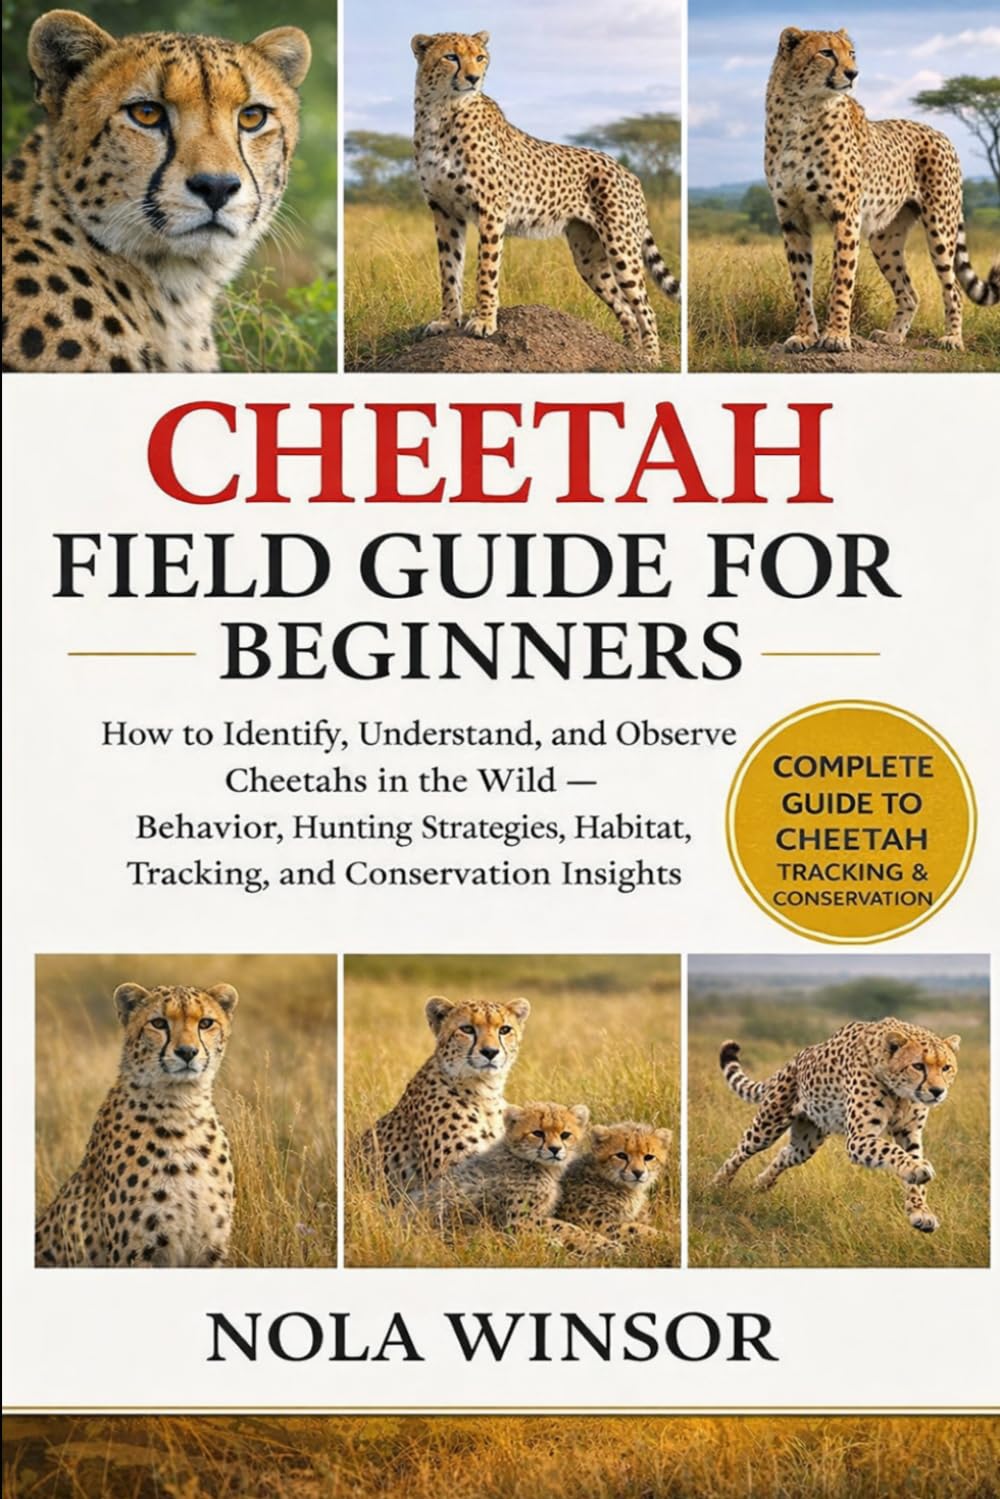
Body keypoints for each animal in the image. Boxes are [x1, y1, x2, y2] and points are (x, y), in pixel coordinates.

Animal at [35, 982, 239, 1267]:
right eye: (159, 1023)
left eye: (206, 1023)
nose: (187, 1052)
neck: (182, 1108)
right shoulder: (136, 1253)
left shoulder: (210, 1251)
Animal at [411, 30, 679, 364]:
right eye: (451, 57)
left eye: (480, 57)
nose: (473, 78)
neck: (440, 110)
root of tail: (628, 171)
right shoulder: (445, 210)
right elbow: (449, 270)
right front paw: (447, 320)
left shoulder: (491, 211)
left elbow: (486, 269)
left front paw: (484, 321)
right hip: (589, 256)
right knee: (626, 309)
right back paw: (627, 355)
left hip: (621, 247)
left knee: (646, 307)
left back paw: (650, 360)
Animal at [712, 1017, 960, 1232]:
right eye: (918, 1066)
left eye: (946, 1068)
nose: (938, 1091)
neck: (901, 1093)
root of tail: (795, 1059)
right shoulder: (859, 1138)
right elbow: (891, 1151)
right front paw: (917, 1169)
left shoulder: (909, 1132)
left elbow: (913, 1169)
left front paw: (920, 1212)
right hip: (768, 1124)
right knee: (741, 1150)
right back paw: (717, 1185)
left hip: (807, 1142)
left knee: (785, 1153)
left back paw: (761, 1183)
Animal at [765, 27, 999, 354]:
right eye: (826, 52)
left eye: (851, 53)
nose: (853, 73)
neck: (801, 110)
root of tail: (940, 133)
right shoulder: (792, 219)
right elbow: (801, 285)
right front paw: (804, 335)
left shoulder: (845, 216)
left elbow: (842, 280)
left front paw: (836, 335)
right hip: (883, 239)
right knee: (910, 292)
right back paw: (893, 337)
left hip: (940, 227)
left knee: (952, 287)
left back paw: (953, 338)